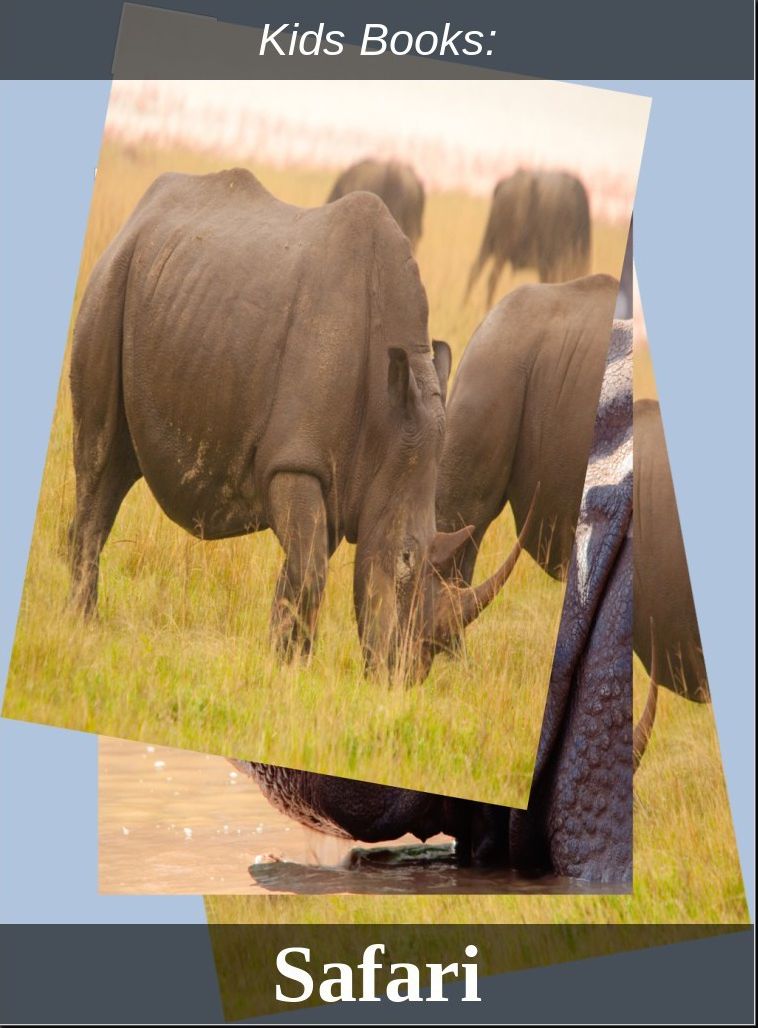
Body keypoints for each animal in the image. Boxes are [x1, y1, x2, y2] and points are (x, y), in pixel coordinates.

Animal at [69, 168, 522, 680]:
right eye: (405, 558)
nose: (405, 676)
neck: (389, 424)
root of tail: (138, 216)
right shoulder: (295, 460)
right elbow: (311, 570)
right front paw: (291, 667)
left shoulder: (339, 477)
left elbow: (301, 568)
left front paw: (286, 662)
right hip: (113, 278)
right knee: (99, 458)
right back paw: (83, 624)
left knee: (119, 467)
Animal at [466, 169, 592, 307]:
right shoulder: (551, 265)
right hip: (503, 246)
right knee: (492, 277)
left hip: (489, 241)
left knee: (475, 271)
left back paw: (463, 307)